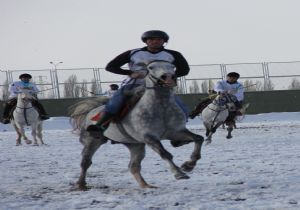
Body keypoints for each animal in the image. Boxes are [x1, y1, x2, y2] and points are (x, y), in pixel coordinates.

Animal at [70, 60, 205, 189]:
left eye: (172, 66)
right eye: (151, 67)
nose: (169, 77)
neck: (162, 108)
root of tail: (91, 111)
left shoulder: (176, 132)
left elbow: (199, 138)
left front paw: (189, 165)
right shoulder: (149, 137)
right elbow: (165, 153)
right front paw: (179, 173)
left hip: (135, 145)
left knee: (133, 166)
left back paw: (146, 186)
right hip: (93, 141)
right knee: (86, 162)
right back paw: (81, 184)